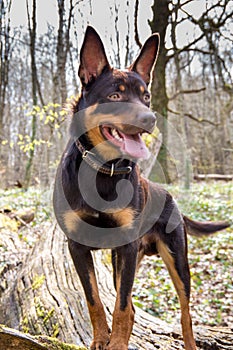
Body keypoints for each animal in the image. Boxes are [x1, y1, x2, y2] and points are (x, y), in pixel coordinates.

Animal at [53, 26, 229, 348]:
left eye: (145, 97)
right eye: (114, 95)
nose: (150, 118)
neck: (104, 170)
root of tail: (168, 195)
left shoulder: (127, 246)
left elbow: (121, 306)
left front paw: (117, 344)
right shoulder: (78, 247)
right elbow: (95, 301)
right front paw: (102, 339)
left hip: (176, 259)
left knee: (185, 314)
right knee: (134, 306)